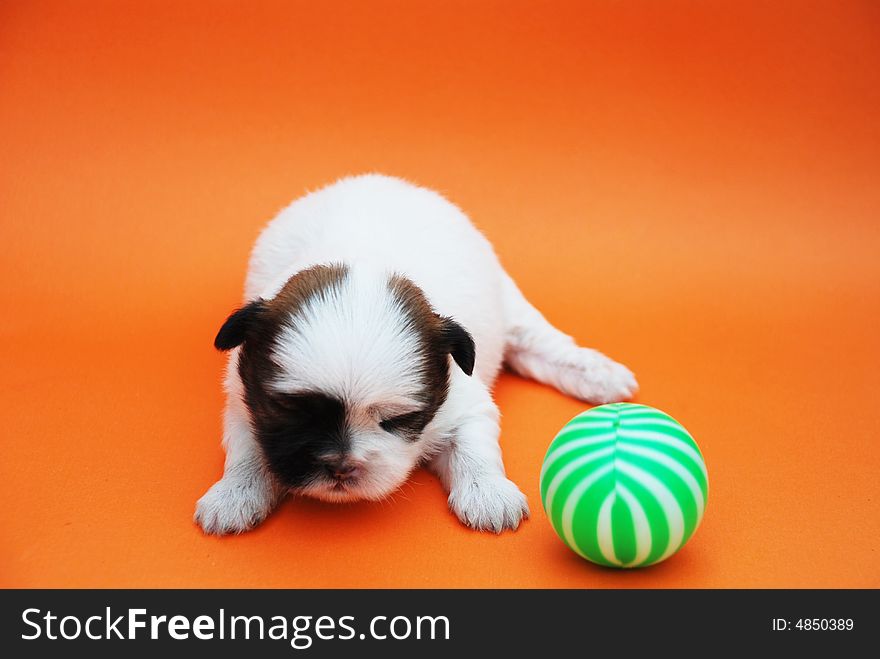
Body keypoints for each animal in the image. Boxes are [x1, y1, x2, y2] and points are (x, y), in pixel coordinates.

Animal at [196, 175, 636, 536]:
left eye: (397, 420)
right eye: (291, 412)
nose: (341, 466)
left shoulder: (465, 401)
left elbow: (475, 446)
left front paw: (489, 493)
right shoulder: (242, 403)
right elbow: (247, 450)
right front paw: (233, 494)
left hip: (510, 304)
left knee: (544, 344)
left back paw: (600, 375)